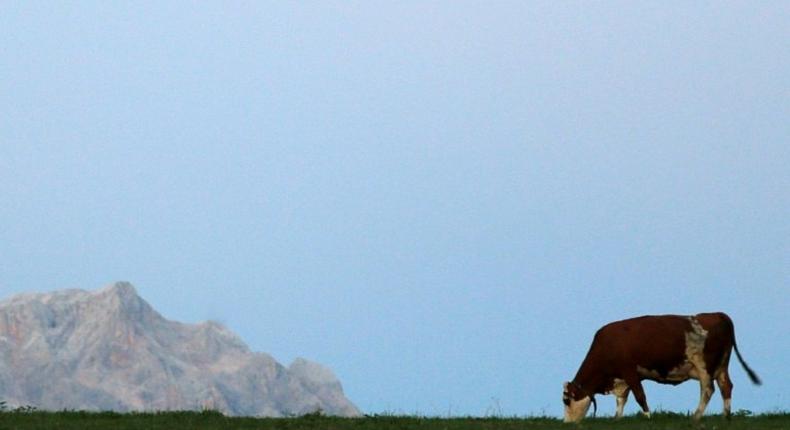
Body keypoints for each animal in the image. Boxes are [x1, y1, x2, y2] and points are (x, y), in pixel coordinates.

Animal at [564, 312, 760, 424]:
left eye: (566, 400)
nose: (567, 423)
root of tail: (718, 314)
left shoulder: (630, 371)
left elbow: (639, 396)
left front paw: (648, 417)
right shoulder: (622, 379)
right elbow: (622, 400)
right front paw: (617, 418)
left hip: (704, 367)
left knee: (707, 389)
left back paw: (696, 417)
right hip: (722, 366)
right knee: (726, 386)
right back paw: (726, 416)